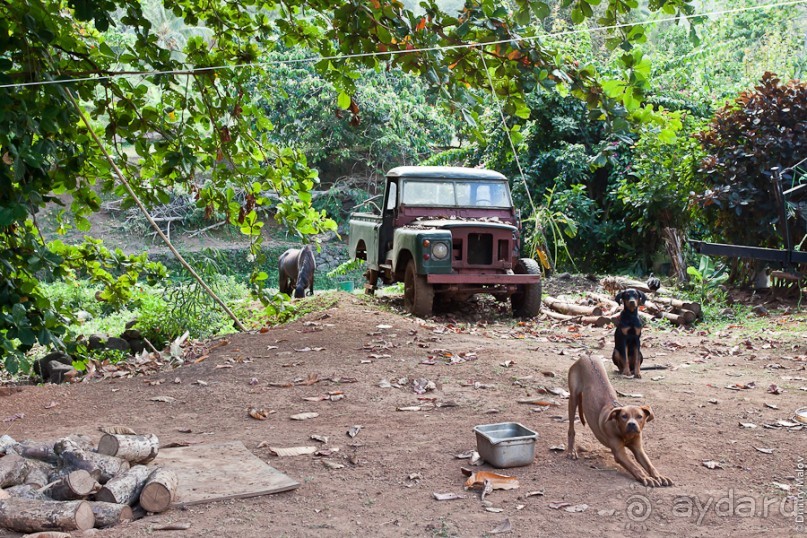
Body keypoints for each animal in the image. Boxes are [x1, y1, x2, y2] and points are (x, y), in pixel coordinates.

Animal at [568, 356, 676, 486]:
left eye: (639, 416)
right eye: (624, 416)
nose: (632, 424)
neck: (624, 433)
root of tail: (586, 356)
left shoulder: (638, 448)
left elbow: (649, 465)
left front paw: (659, 476)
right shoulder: (619, 452)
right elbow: (635, 467)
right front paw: (646, 477)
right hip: (573, 397)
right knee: (571, 428)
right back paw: (571, 451)